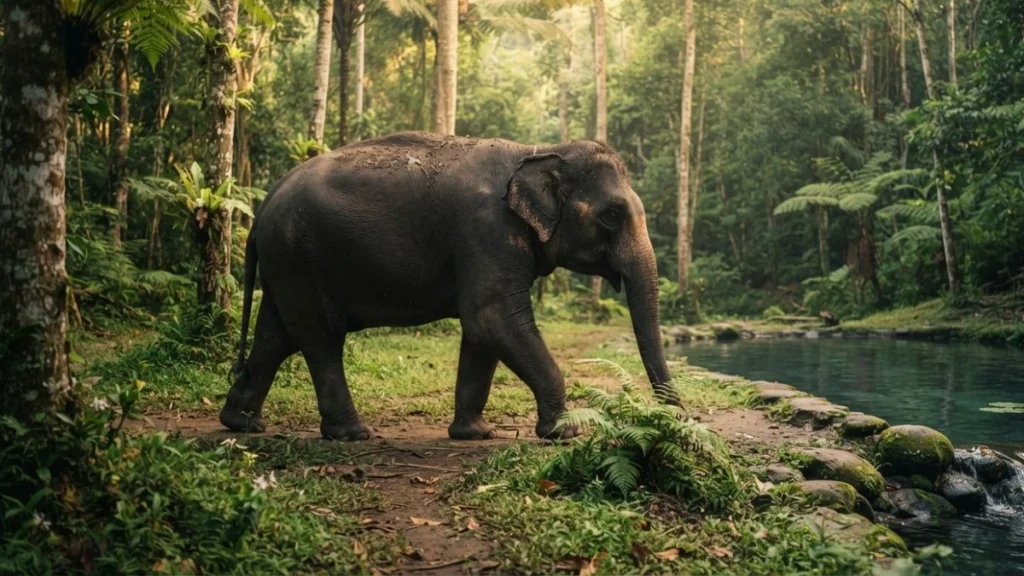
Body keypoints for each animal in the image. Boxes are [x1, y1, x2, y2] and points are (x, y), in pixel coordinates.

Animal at [219, 131, 677, 441]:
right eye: (611, 216)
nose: (674, 417)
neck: (537, 149)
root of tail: (263, 205)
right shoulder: (485, 231)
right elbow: (493, 319)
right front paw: (564, 433)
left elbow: (481, 334)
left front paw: (474, 434)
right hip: (299, 259)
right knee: (319, 339)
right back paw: (352, 434)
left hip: (287, 264)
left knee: (275, 336)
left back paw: (242, 423)